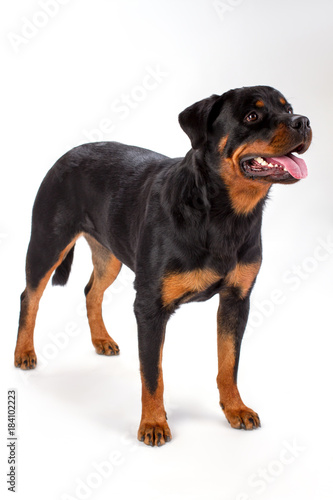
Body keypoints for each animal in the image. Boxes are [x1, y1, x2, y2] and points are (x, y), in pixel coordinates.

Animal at [14, 85, 312, 446]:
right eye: (252, 116)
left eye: (289, 109)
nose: (303, 121)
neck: (223, 215)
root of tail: (67, 154)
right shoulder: (149, 306)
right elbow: (152, 373)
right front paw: (154, 423)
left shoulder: (236, 300)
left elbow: (229, 363)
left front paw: (234, 409)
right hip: (48, 242)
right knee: (30, 295)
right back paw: (23, 353)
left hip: (110, 254)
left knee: (91, 290)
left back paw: (101, 340)